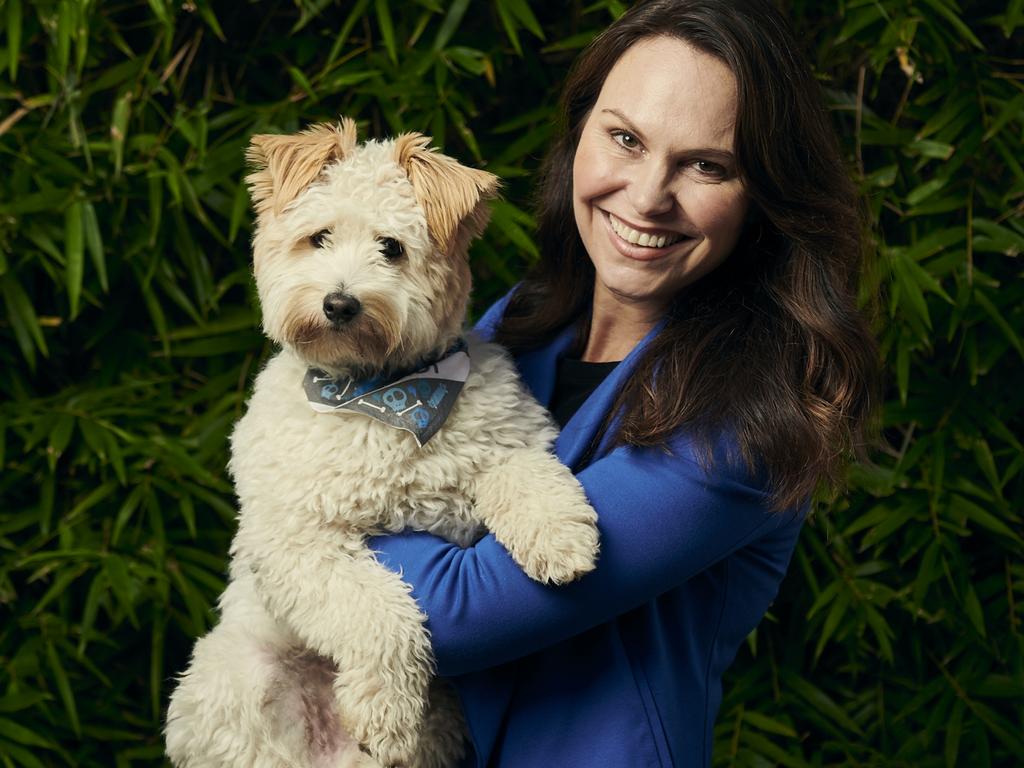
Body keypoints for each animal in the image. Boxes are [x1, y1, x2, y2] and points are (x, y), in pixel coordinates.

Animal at [165, 120, 598, 768]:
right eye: (318, 237)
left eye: (391, 247)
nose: (339, 303)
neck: (383, 395)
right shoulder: (296, 542)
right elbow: (376, 608)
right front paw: (386, 711)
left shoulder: (507, 437)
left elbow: (522, 472)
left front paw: (560, 538)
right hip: (234, 681)